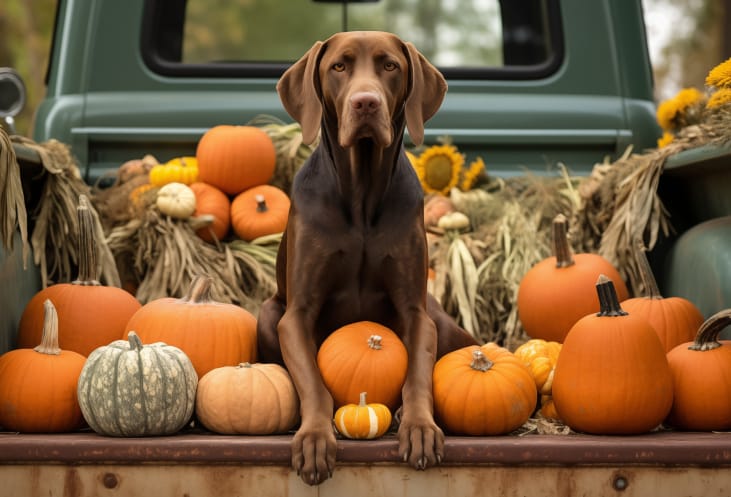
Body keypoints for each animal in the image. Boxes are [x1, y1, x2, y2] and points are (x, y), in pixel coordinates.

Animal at [258, 31, 480, 484]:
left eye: (389, 66)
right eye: (339, 67)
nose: (366, 103)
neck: (360, 193)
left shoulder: (416, 313)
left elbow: (418, 376)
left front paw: (419, 426)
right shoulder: (296, 315)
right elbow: (313, 382)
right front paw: (314, 437)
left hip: (445, 324)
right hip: (267, 315)